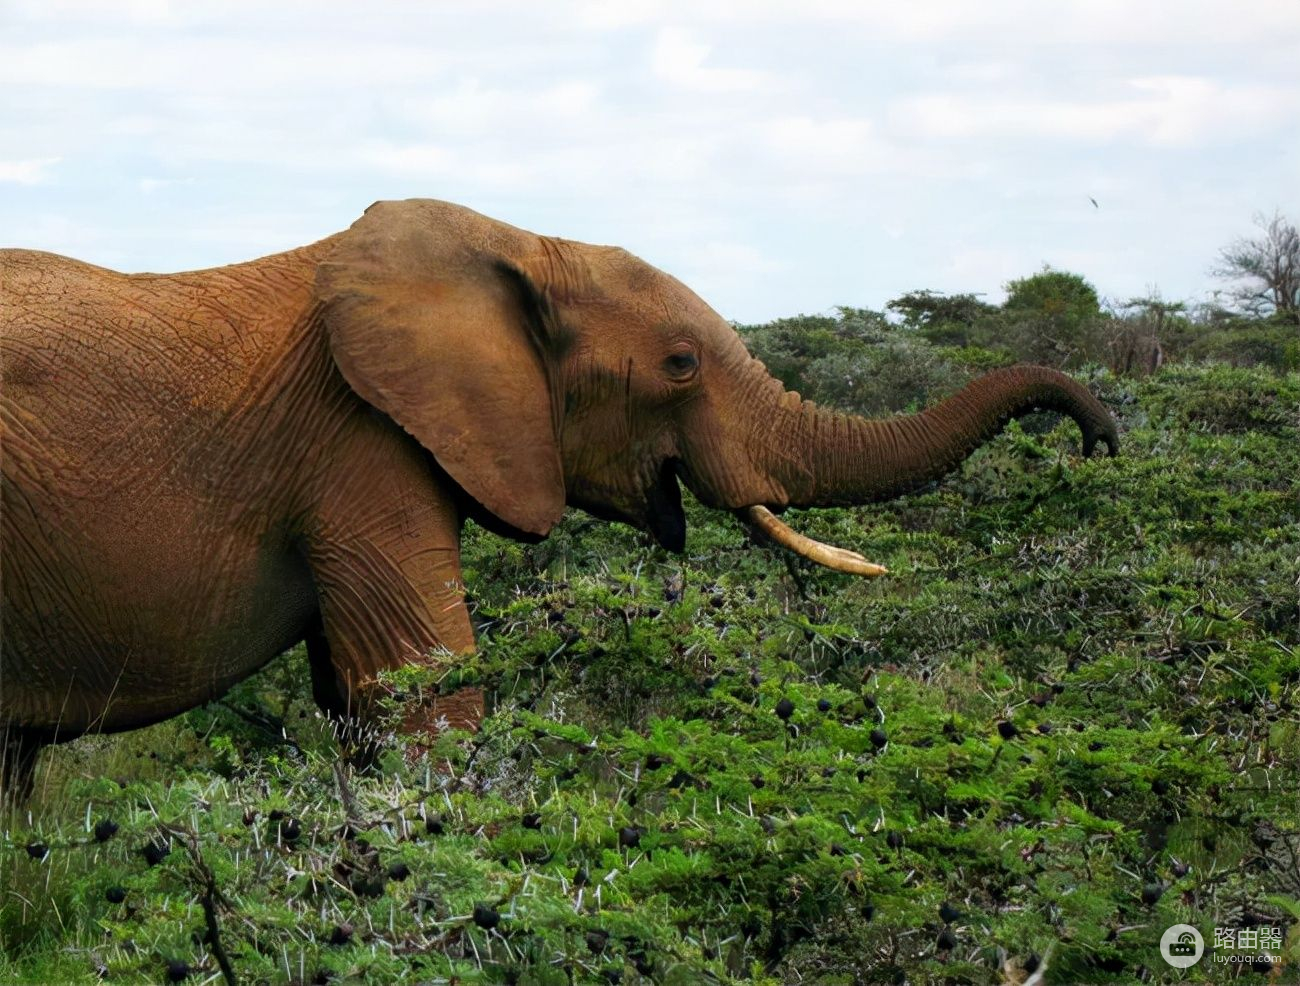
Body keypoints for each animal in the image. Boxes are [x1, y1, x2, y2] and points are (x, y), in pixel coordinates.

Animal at [0, 200, 1118, 801]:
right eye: (678, 364)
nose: (1096, 441)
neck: (522, 245)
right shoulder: (357, 441)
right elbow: (422, 693)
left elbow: (358, 700)